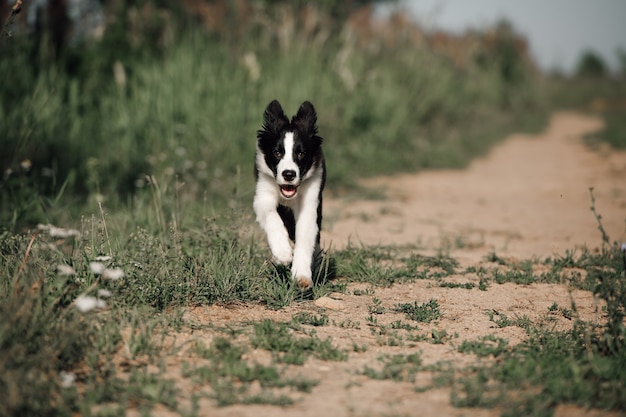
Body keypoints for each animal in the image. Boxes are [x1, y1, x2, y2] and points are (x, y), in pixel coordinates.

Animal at [252, 100, 324, 290]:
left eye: (300, 153)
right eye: (277, 152)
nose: (289, 174)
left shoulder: (310, 200)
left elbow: (305, 235)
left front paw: (302, 276)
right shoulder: (262, 195)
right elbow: (272, 217)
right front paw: (282, 253)